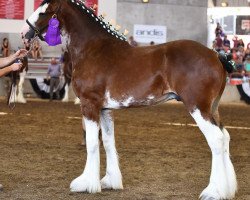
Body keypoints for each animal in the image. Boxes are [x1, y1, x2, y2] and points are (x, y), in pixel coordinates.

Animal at [21, 0, 236, 199]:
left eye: (44, 12)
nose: (24, 33)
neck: (93, 49)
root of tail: (216, 55)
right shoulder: (104, 109)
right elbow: (108, 142)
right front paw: (109, 181)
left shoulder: (90, 105)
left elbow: (92, 143)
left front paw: (87, 184)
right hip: (212, 109)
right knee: (225, 137)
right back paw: (227, 189)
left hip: (197, 107)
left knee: (216, 140)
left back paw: (213, 192)